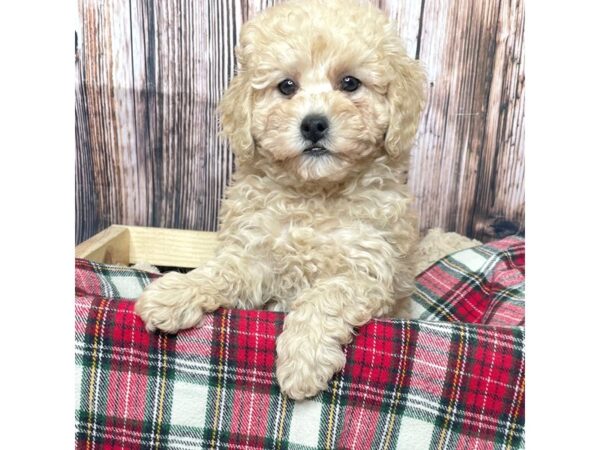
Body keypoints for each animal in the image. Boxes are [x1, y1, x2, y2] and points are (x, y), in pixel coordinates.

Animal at [136, 0, 426, 400]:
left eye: (350, 83)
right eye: (286, 86)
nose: (314, 124)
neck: (314, 193)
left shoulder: (366, 270)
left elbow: (326, 296)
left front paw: (303, 361)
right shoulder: (257, 253)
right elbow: (225, 271)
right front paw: (176, 293)